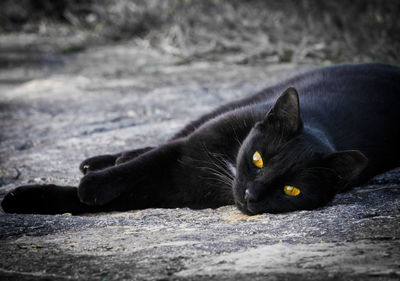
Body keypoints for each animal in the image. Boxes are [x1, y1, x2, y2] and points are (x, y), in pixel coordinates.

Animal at [0, 62, 400, 213]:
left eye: (291, 190)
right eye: (257, 158)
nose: (251, 194)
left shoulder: (169, 190)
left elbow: (95, 200)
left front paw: (28, 198)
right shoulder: (184, 150)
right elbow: (140, 166)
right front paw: (89, 184)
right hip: (236, 103)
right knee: (164, 138)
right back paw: (100, 161)